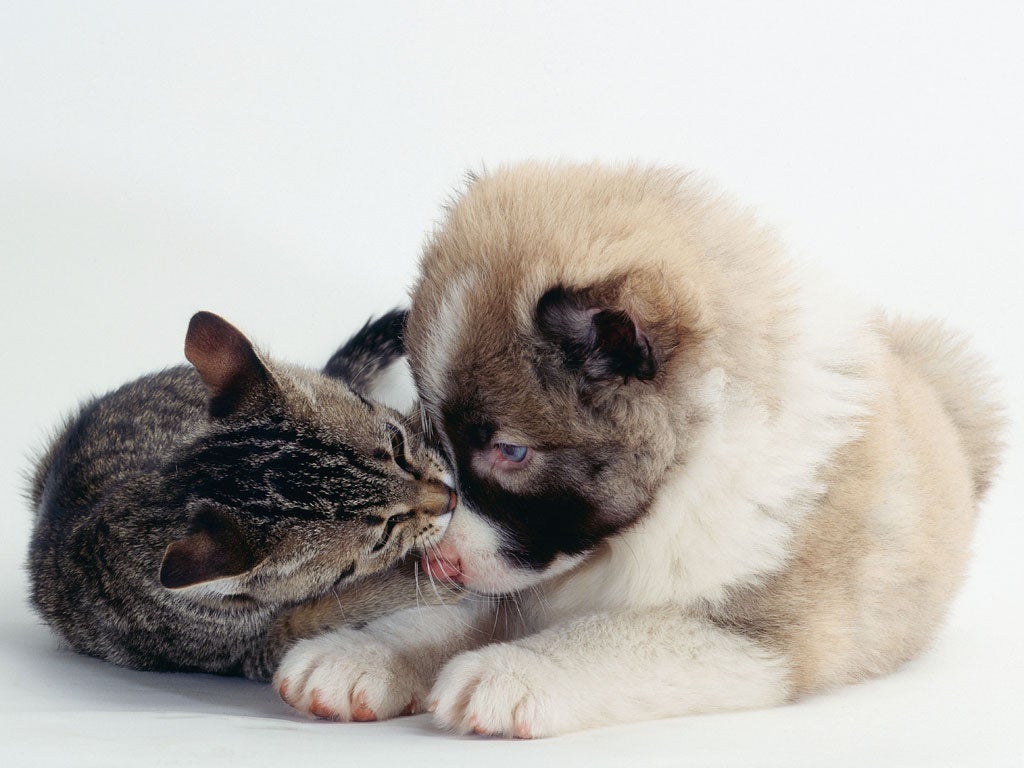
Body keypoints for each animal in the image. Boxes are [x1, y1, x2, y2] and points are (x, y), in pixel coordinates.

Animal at [274, 163, 1007, 741]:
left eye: (511, 452)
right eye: (435, 441)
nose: (437, 562)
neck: (690, 464)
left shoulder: (756, 636)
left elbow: (613, 636)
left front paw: (515, 669)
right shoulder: (520, 581)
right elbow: (449, 617)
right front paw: (361, 655)